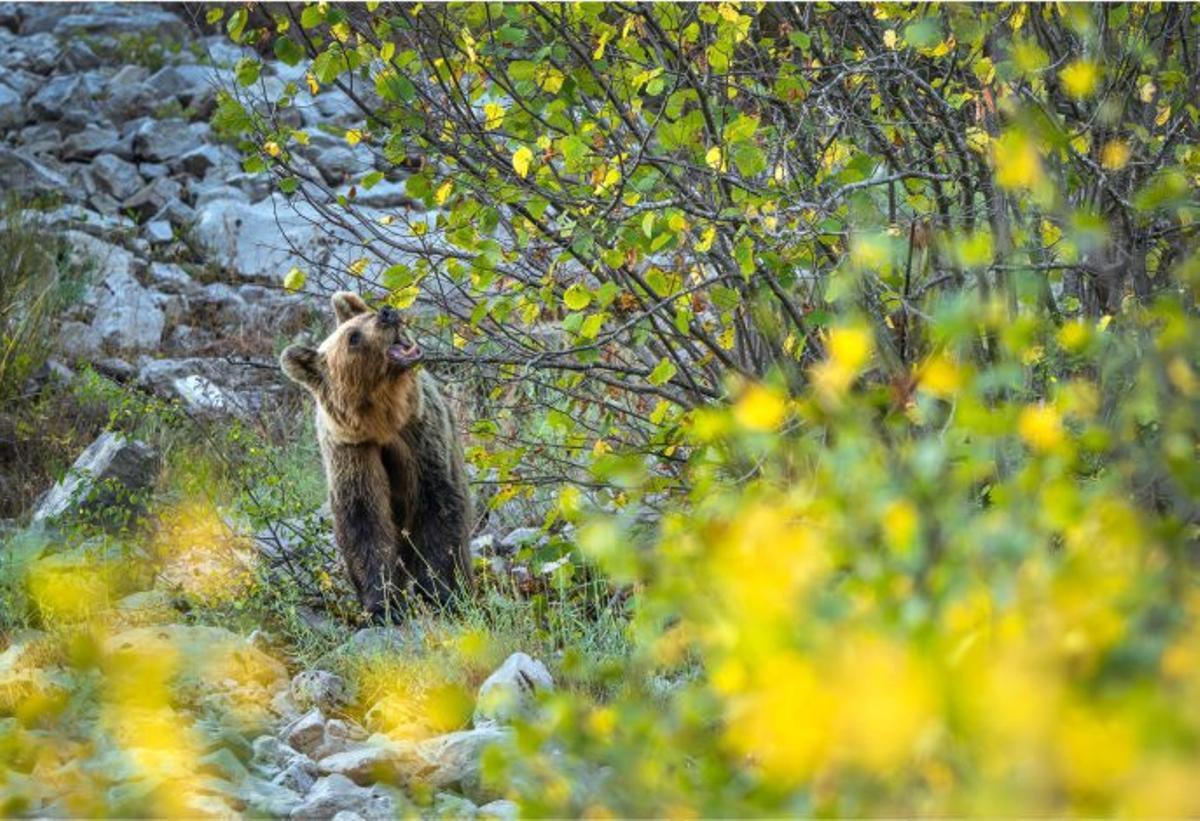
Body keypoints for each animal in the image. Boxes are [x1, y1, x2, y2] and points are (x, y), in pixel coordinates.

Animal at [280, 291, 472, 620]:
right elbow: (364, 521)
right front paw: (382, 605)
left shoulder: (420, 436)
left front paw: (440, 591)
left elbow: (437, 507)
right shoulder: (353, 451)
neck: (383, 419)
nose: (387, 313)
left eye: (366, 314)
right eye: (353, 337)